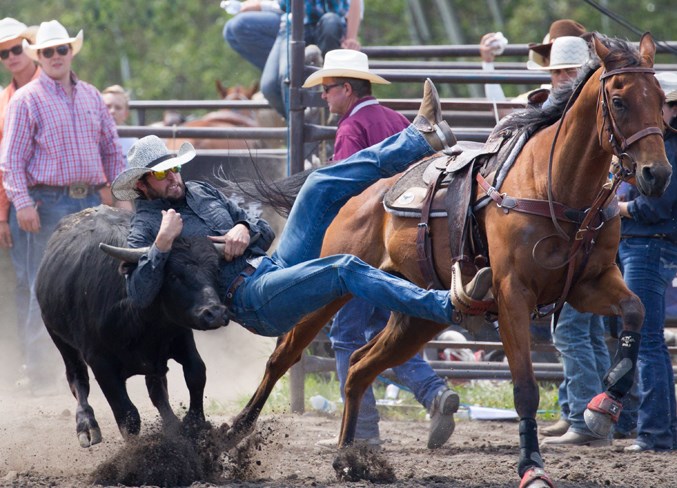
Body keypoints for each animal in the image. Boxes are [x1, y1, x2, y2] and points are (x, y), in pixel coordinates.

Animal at [224, 32, 668, 486]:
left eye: (660, 99)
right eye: (619, 100)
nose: (657, 173)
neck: (555, 188)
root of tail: (362, 195)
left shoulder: (590, 283)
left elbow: (635, 310)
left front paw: (604, 406)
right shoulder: (513, 295)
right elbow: (526, 388)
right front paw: (532, 467)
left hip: (418, 313)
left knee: (360, 367)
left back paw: (349, 458)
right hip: (327, 285)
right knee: (285, 355)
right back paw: (236, 433)